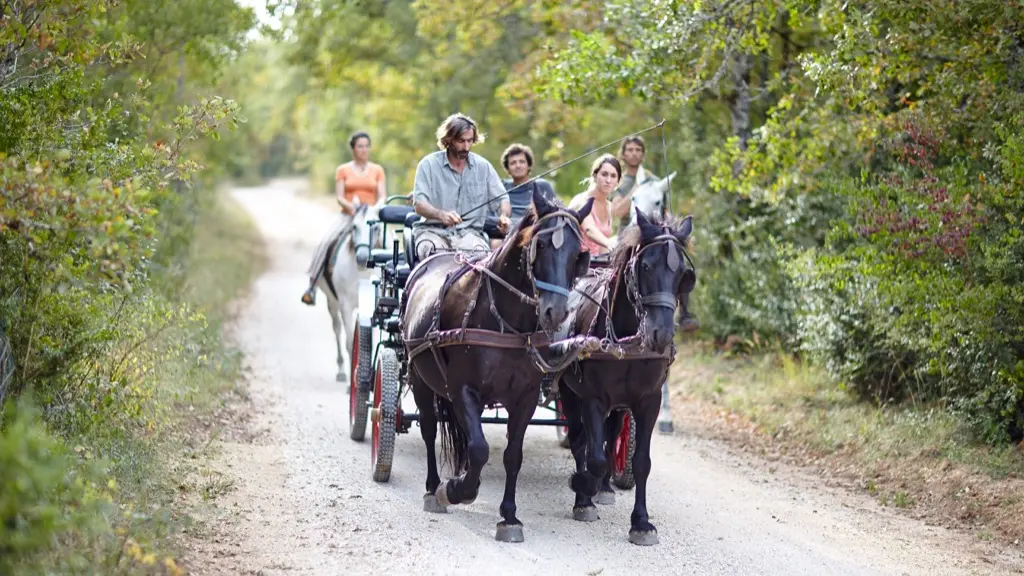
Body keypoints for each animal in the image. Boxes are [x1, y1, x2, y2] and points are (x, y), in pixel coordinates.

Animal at [313, 201, 382, 381]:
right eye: (354, 227)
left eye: (376, 227)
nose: (363, 258)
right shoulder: (345, 305)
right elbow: (350, 342)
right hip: (332, 302)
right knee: (337, 329)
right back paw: (342, 371)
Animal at [399, 187, 593, 537]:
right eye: (541, 245)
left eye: (577, 254)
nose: (556, 312)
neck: (505, 320)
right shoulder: (462, 389)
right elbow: (479, 448)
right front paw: (457, 490)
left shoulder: (525, 397)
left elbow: (511, 455)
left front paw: (509, 516)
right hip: (420, 378)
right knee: (430, 429)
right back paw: (434, 488)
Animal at [561, 206, 696, 541]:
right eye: (645, 266)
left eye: (682, 275)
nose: (661, 334)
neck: (626, 339)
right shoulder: (593, 398)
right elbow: (593, 457)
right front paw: (583, 487)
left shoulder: (648, 401)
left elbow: (641, 462)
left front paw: (641, 522)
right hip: (569, 391)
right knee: (580, 439)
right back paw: (586, 494)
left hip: (620, 405)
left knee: (611, 435)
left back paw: (606, 487)